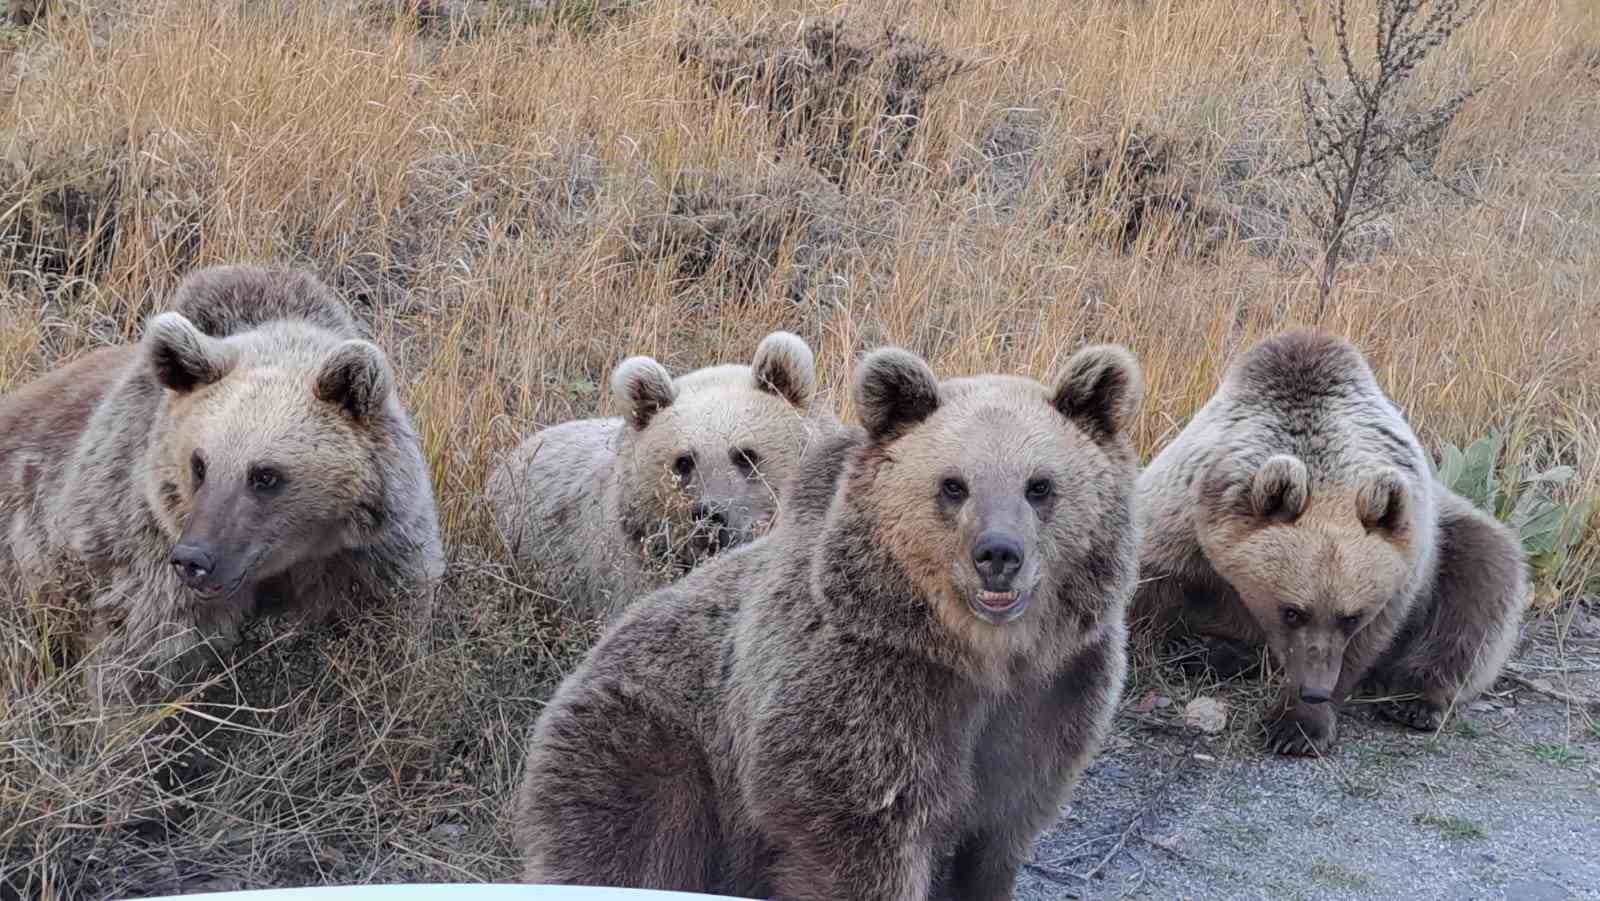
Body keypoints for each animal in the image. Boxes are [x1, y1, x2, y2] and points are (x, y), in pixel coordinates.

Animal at [0, 260, 444, 704]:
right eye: (199, 464)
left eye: (264, 474)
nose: (194, 559)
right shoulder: (145, 557)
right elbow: (138, 664)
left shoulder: (366, 554)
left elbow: (381, 636)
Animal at [505, 342, 1145, 896]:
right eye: (953, 485)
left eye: (1040, 485)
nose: (998, 555)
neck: (980, 658)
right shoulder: (862, 697)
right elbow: (859, 838)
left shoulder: (1052, 700)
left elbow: (994, 840)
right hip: (657, 746)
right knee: (622, 838)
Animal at [1132, 329, 1529, 755]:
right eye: (1292, 611)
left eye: (1350, 616)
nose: (1315, 690)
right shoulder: (1179, 524)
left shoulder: (1405, 569)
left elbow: (1368, 642)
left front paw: (1296, 727)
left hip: (1451, 533)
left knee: (1481, 583)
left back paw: (1415, 701)